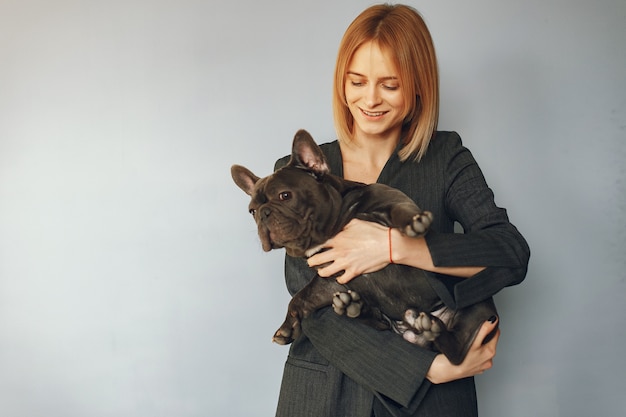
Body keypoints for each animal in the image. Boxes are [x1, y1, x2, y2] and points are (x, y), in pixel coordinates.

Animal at [230, 128, 498, 362]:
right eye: (251, 211)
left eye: (285, 195)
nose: (263, 214)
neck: (333, 227)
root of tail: (417, 334)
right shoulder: (330, 280)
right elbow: (301, 296)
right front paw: (287, 326)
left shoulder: (390, 200)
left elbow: (400, 209)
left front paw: (413, 222)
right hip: (387, 319)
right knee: (380, 323)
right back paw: (354, 307)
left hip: (476, 305)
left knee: (457, 351)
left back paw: (435, 329)